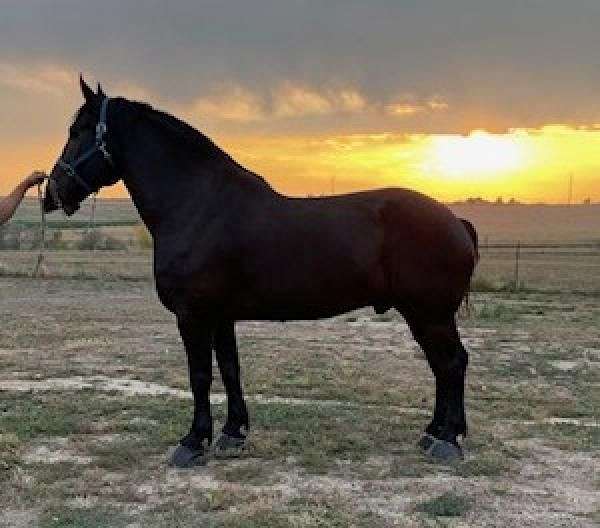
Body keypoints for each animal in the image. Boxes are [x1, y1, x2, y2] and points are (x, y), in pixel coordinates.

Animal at [44, 77, 478, 466]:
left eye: (78, 131)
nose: (52, 194)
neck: (198, 205)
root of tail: (454, 220)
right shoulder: (221, 316)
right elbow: (230, 369)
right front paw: (232, 434)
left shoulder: (193, 315)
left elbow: (199, 375)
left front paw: (192, 442)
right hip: (424, 315)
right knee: (443, 366)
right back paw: (433, 435)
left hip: (431, 314)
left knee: (452, 364)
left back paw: (447, 441)